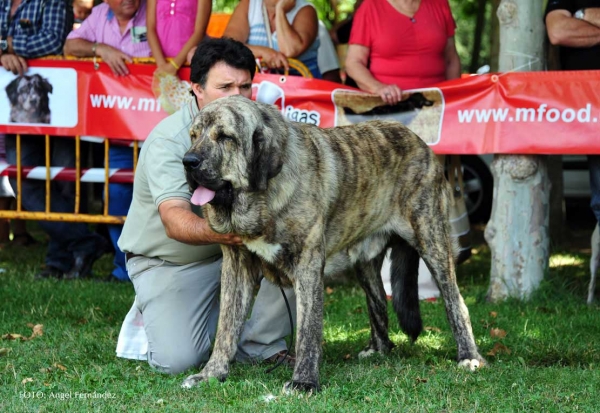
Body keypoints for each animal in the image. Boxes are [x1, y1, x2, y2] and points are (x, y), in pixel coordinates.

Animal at [182, 95, 482, 392]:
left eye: (225, 137)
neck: (264, 196)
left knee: (455, 301)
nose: (188, 161)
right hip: (365, 262)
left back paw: (469, 356)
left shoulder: (308, 266)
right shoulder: (237, 266)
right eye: (193, 136)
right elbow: (226, 326)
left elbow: (308, 329)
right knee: (378, 302)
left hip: (432, 241)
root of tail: (419, 141)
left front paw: (304, 381)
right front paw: (211, 373)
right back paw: (379, 349)